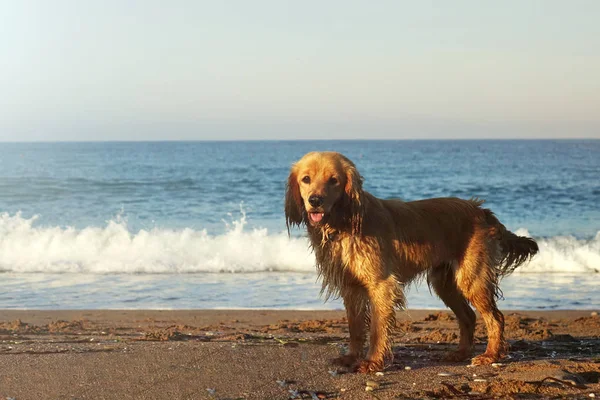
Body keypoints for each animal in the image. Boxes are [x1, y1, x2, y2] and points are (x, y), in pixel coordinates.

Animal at [286, 152, 540, 374]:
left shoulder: (381, 285)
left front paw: (372, 362)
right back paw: (460, 353)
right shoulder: (351, 288)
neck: (345, 222)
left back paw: (490, 355)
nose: (315, 201)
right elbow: (355, 327)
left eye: (334, 180)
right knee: (468, 316)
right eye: (306, 179)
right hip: (444, 282)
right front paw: (351, 357)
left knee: (496, 318)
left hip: (471, 278)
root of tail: (482, 210)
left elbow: (377, 329)